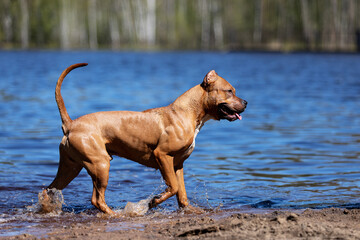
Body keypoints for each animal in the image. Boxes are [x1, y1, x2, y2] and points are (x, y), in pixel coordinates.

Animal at [45, 62, 248, 214]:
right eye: (229, 91)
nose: (246, 102)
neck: (188, 112)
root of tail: (71, 124)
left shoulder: (177, 164)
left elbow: (182, 194)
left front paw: (192, 210)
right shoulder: (163, 156)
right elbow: (173, 187)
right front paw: (154, 201)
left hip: (71, 167)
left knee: (49, 189)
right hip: (100, 164)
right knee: (97, 200)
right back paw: (117, 215)